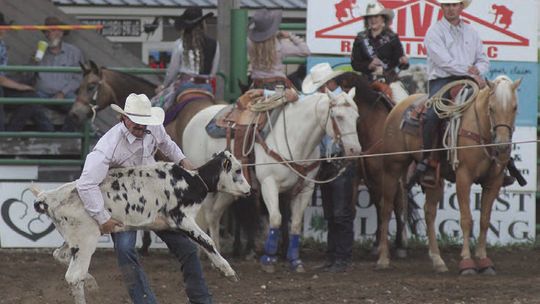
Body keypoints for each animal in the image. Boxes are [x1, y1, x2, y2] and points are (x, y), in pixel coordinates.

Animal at [30, 151, 249, 304]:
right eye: (238, 170)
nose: (249, 190)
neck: (192, 181)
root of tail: (49, 197)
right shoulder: (182, 218)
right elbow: (208, 241)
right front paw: (229, 271)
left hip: (73, 240)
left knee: (60, 256)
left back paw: (91, 282)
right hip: (85, 241)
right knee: (74, 277)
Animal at [182, 89, 362, 272]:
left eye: (356, 117)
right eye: (339, 116)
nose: (355, 151)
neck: (294, 138)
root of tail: (195, 118)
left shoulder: (306, 187)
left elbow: (295, 223)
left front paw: (295, 261)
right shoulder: (269, 184)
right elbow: (276, 218)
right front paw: (268, 259)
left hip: (229, 190)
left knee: (214, 214)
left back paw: (216, 255)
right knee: (208, 214)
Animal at [374, 75, 520, 274]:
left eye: (515, 108)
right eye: (491, 108)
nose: (503, 147)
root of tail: (399, 104)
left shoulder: (494, 182)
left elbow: (484, 220)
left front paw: (484, 260)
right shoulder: (464, 177)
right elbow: (466, 219)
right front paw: (467, 262)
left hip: (435, 179)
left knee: (429, 212)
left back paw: (438, 260)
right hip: (392, 168)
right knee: (386, 208)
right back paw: (383, 259)